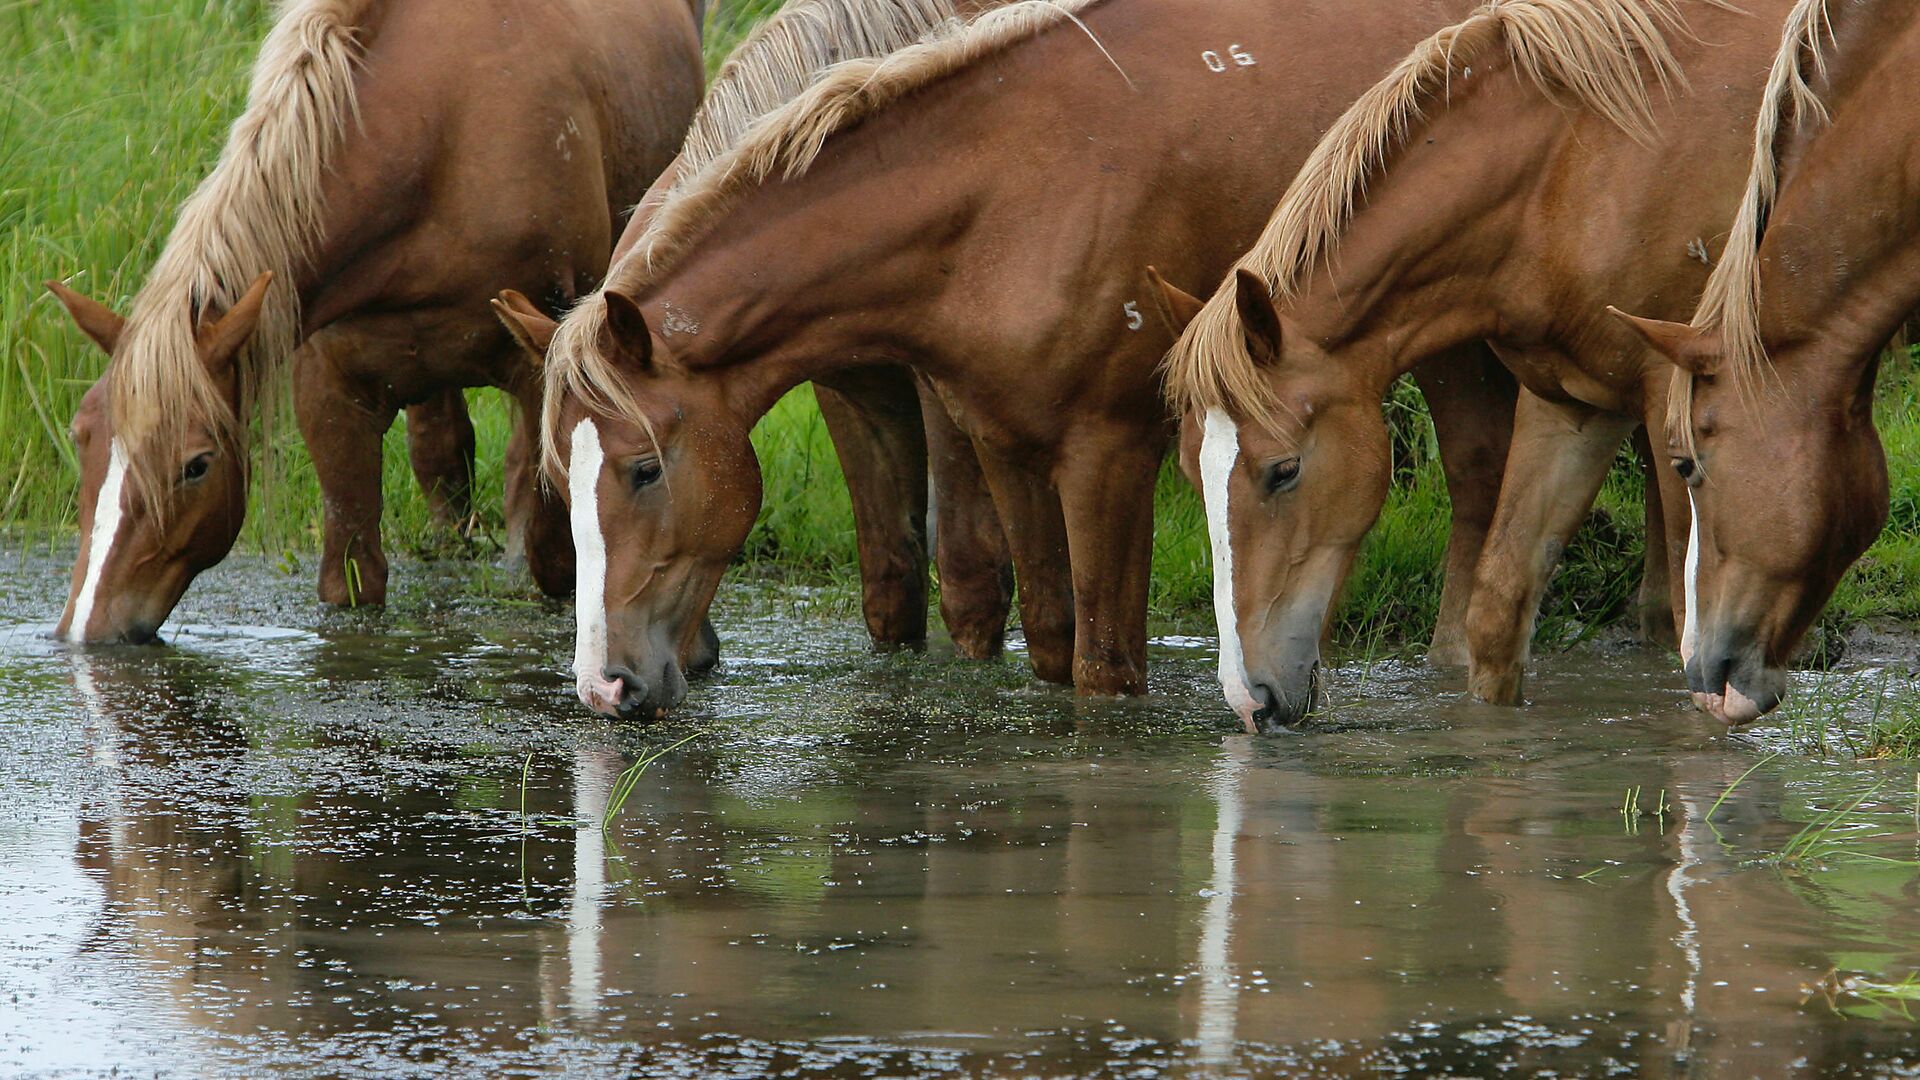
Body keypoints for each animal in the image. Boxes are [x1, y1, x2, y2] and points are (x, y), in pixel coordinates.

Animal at [46, 0, 706, 638]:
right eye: (82, 435)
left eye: (196, 465)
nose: (86, 629)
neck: (439, 141)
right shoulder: (330, 392)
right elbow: (353, 574)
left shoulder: (541, 375)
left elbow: (551, 559)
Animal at [499, 0, 1543, 718]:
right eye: (559, 475)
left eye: (643, 470)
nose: (603, 687)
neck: (1008, 196)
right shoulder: (1002, 442)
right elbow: (1045, 633)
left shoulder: (1109, 454)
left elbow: (1102, 667)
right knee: (1484, 466)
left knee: (1480, 470)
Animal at [1152, 0, 1781, 726]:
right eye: (1190, 474)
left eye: (1283, 471)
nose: (1247, 699)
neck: (1578, 161)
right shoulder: (1573, 397)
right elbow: (1498, 610)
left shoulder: (1667, 405)